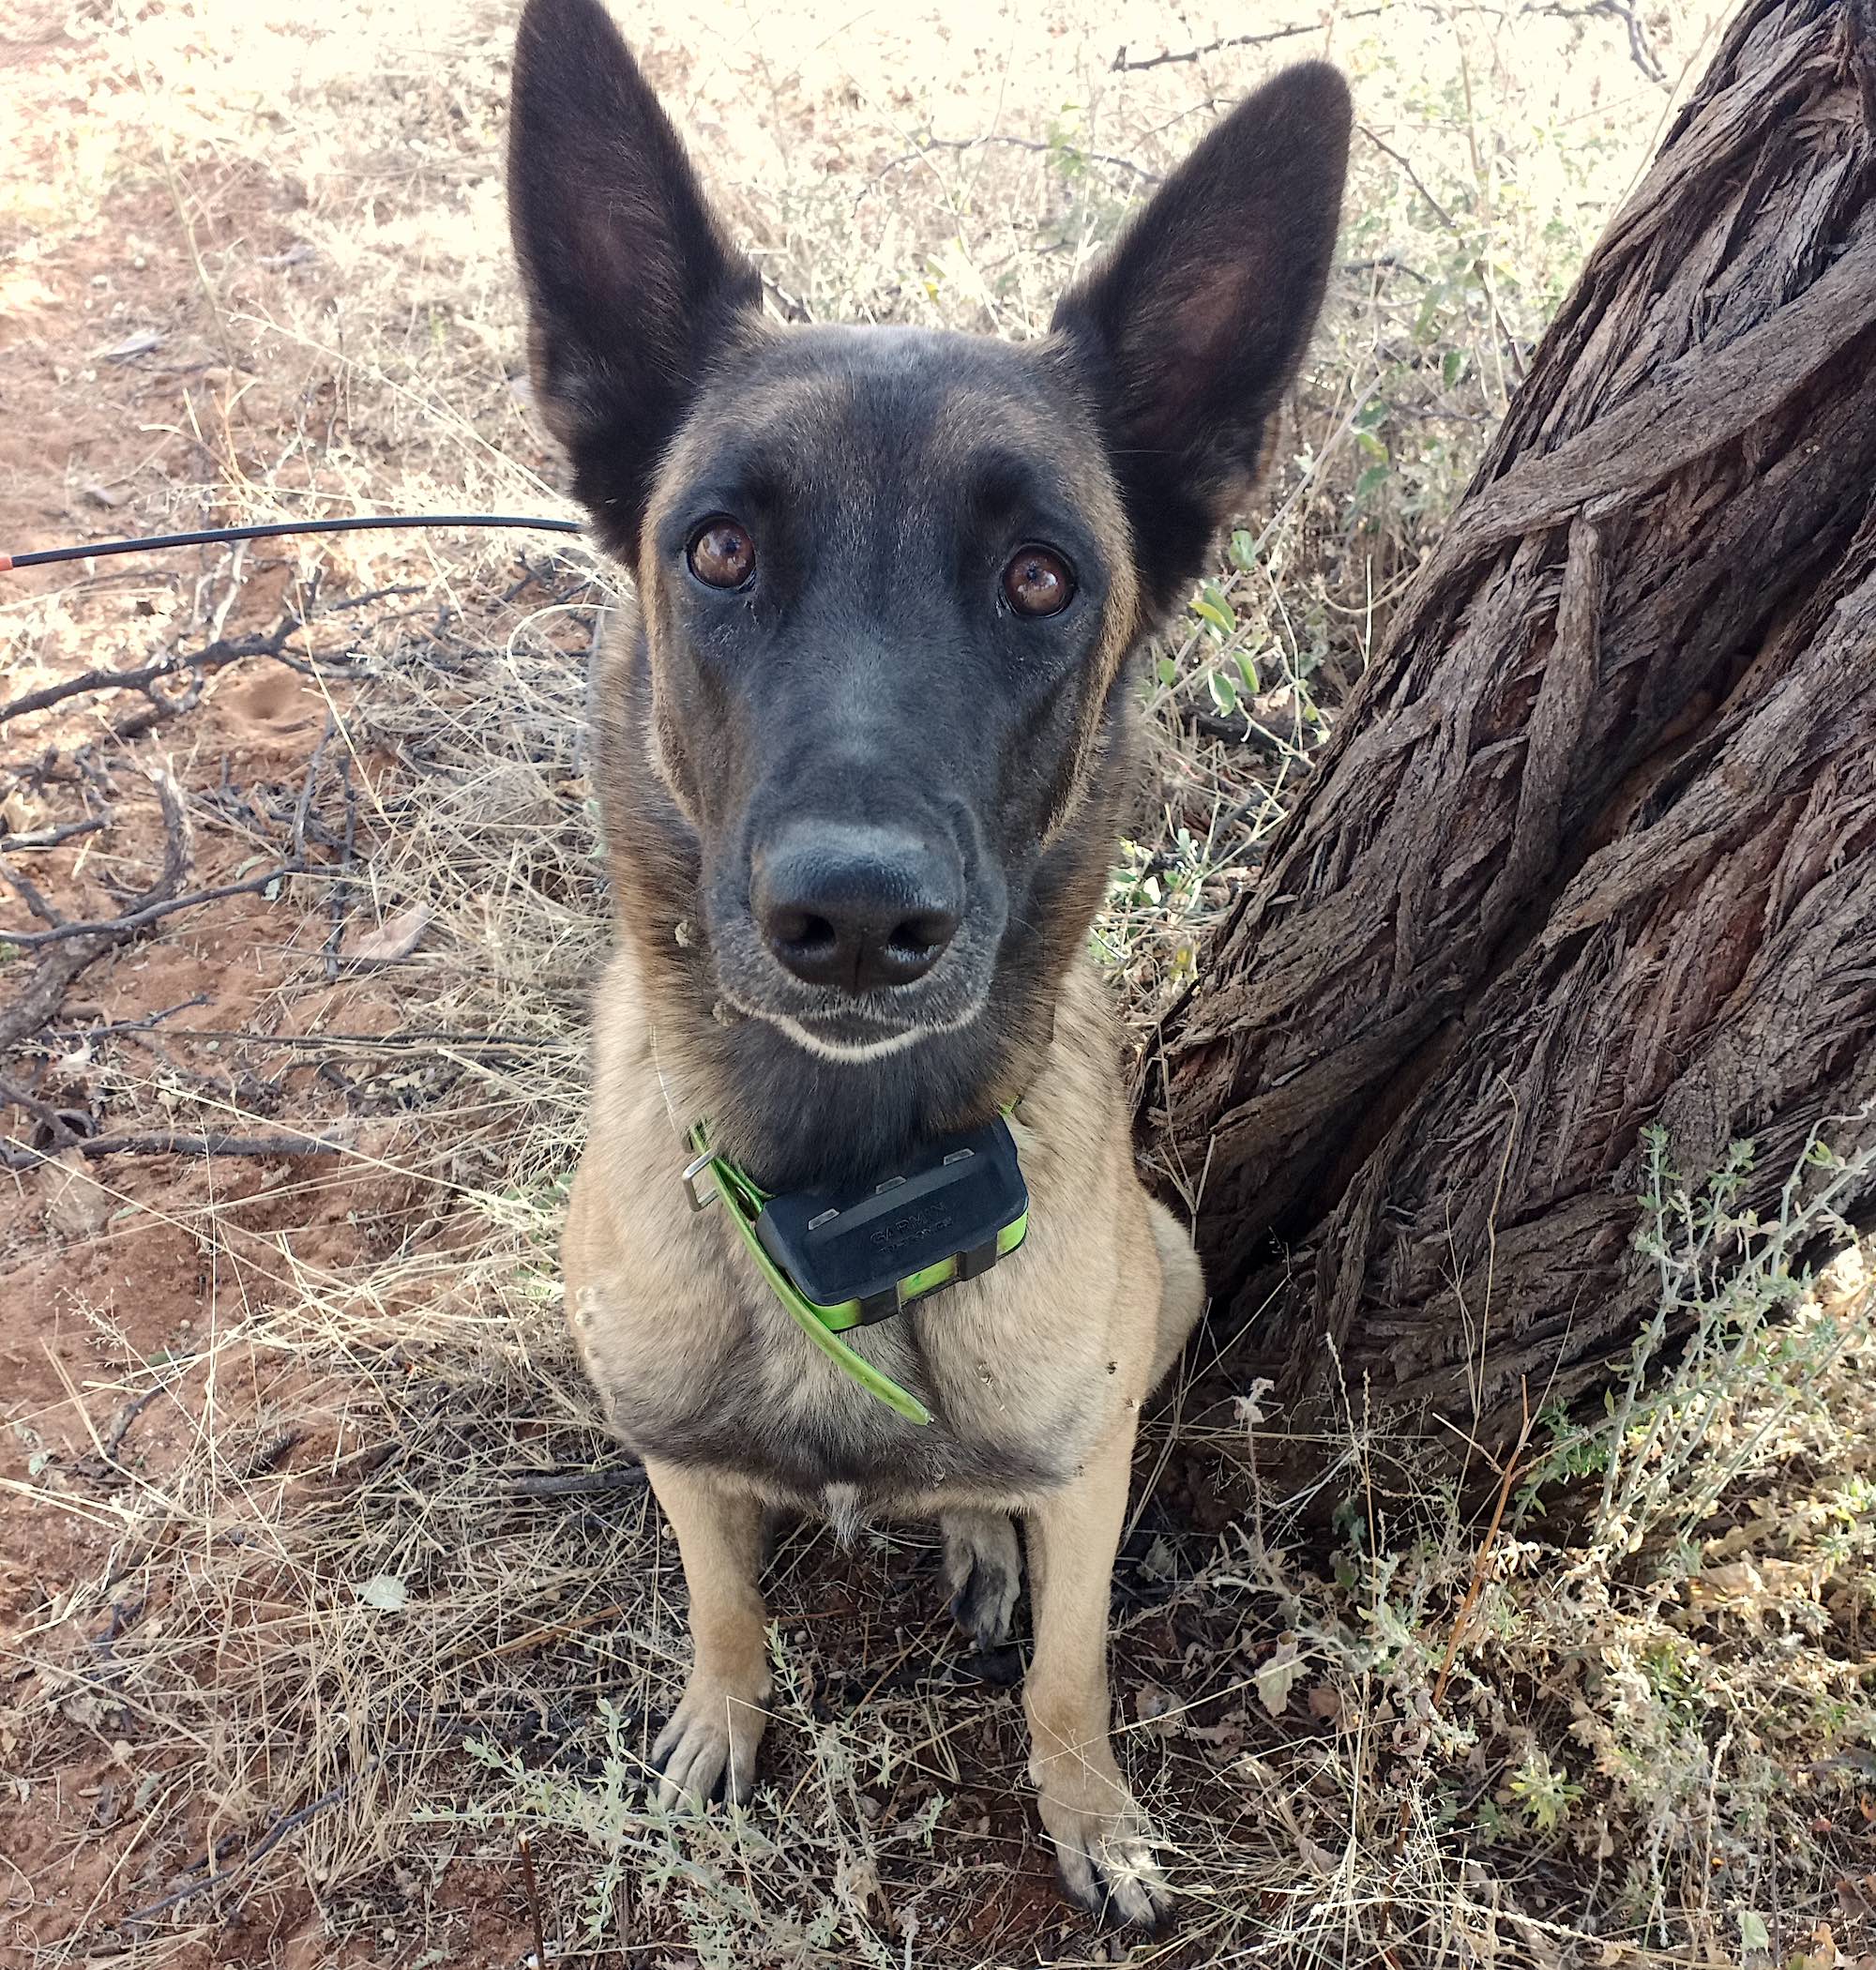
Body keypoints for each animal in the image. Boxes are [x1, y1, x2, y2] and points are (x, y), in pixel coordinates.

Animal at [504, 0, 1339, 1922]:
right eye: (719, 548)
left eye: (1041, 579)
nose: (859, 923)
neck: (850, 1173)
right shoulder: (675, 1458)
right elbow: (723, 1606)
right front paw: (720, 1722)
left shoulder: (1090, 1469)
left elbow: (1072, 1670)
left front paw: (1086, 1807)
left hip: (1169, 1269)